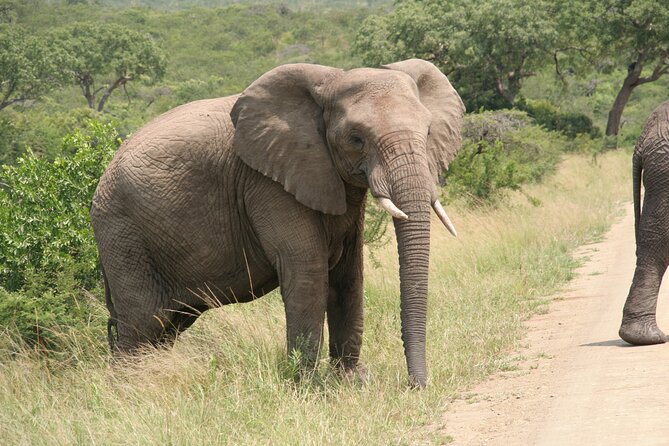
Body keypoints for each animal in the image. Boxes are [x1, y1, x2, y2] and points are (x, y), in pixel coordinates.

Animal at [91, 59, 465, 388]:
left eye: (428, 131)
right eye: (356, 138)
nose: (417, 386)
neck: (332, 81)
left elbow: (349, 273)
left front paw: (351, 381)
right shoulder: (267, 183)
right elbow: (308, 270)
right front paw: (310, 388)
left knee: (165, 328)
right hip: (123, 235)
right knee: (141, 325)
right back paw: (130, 391)